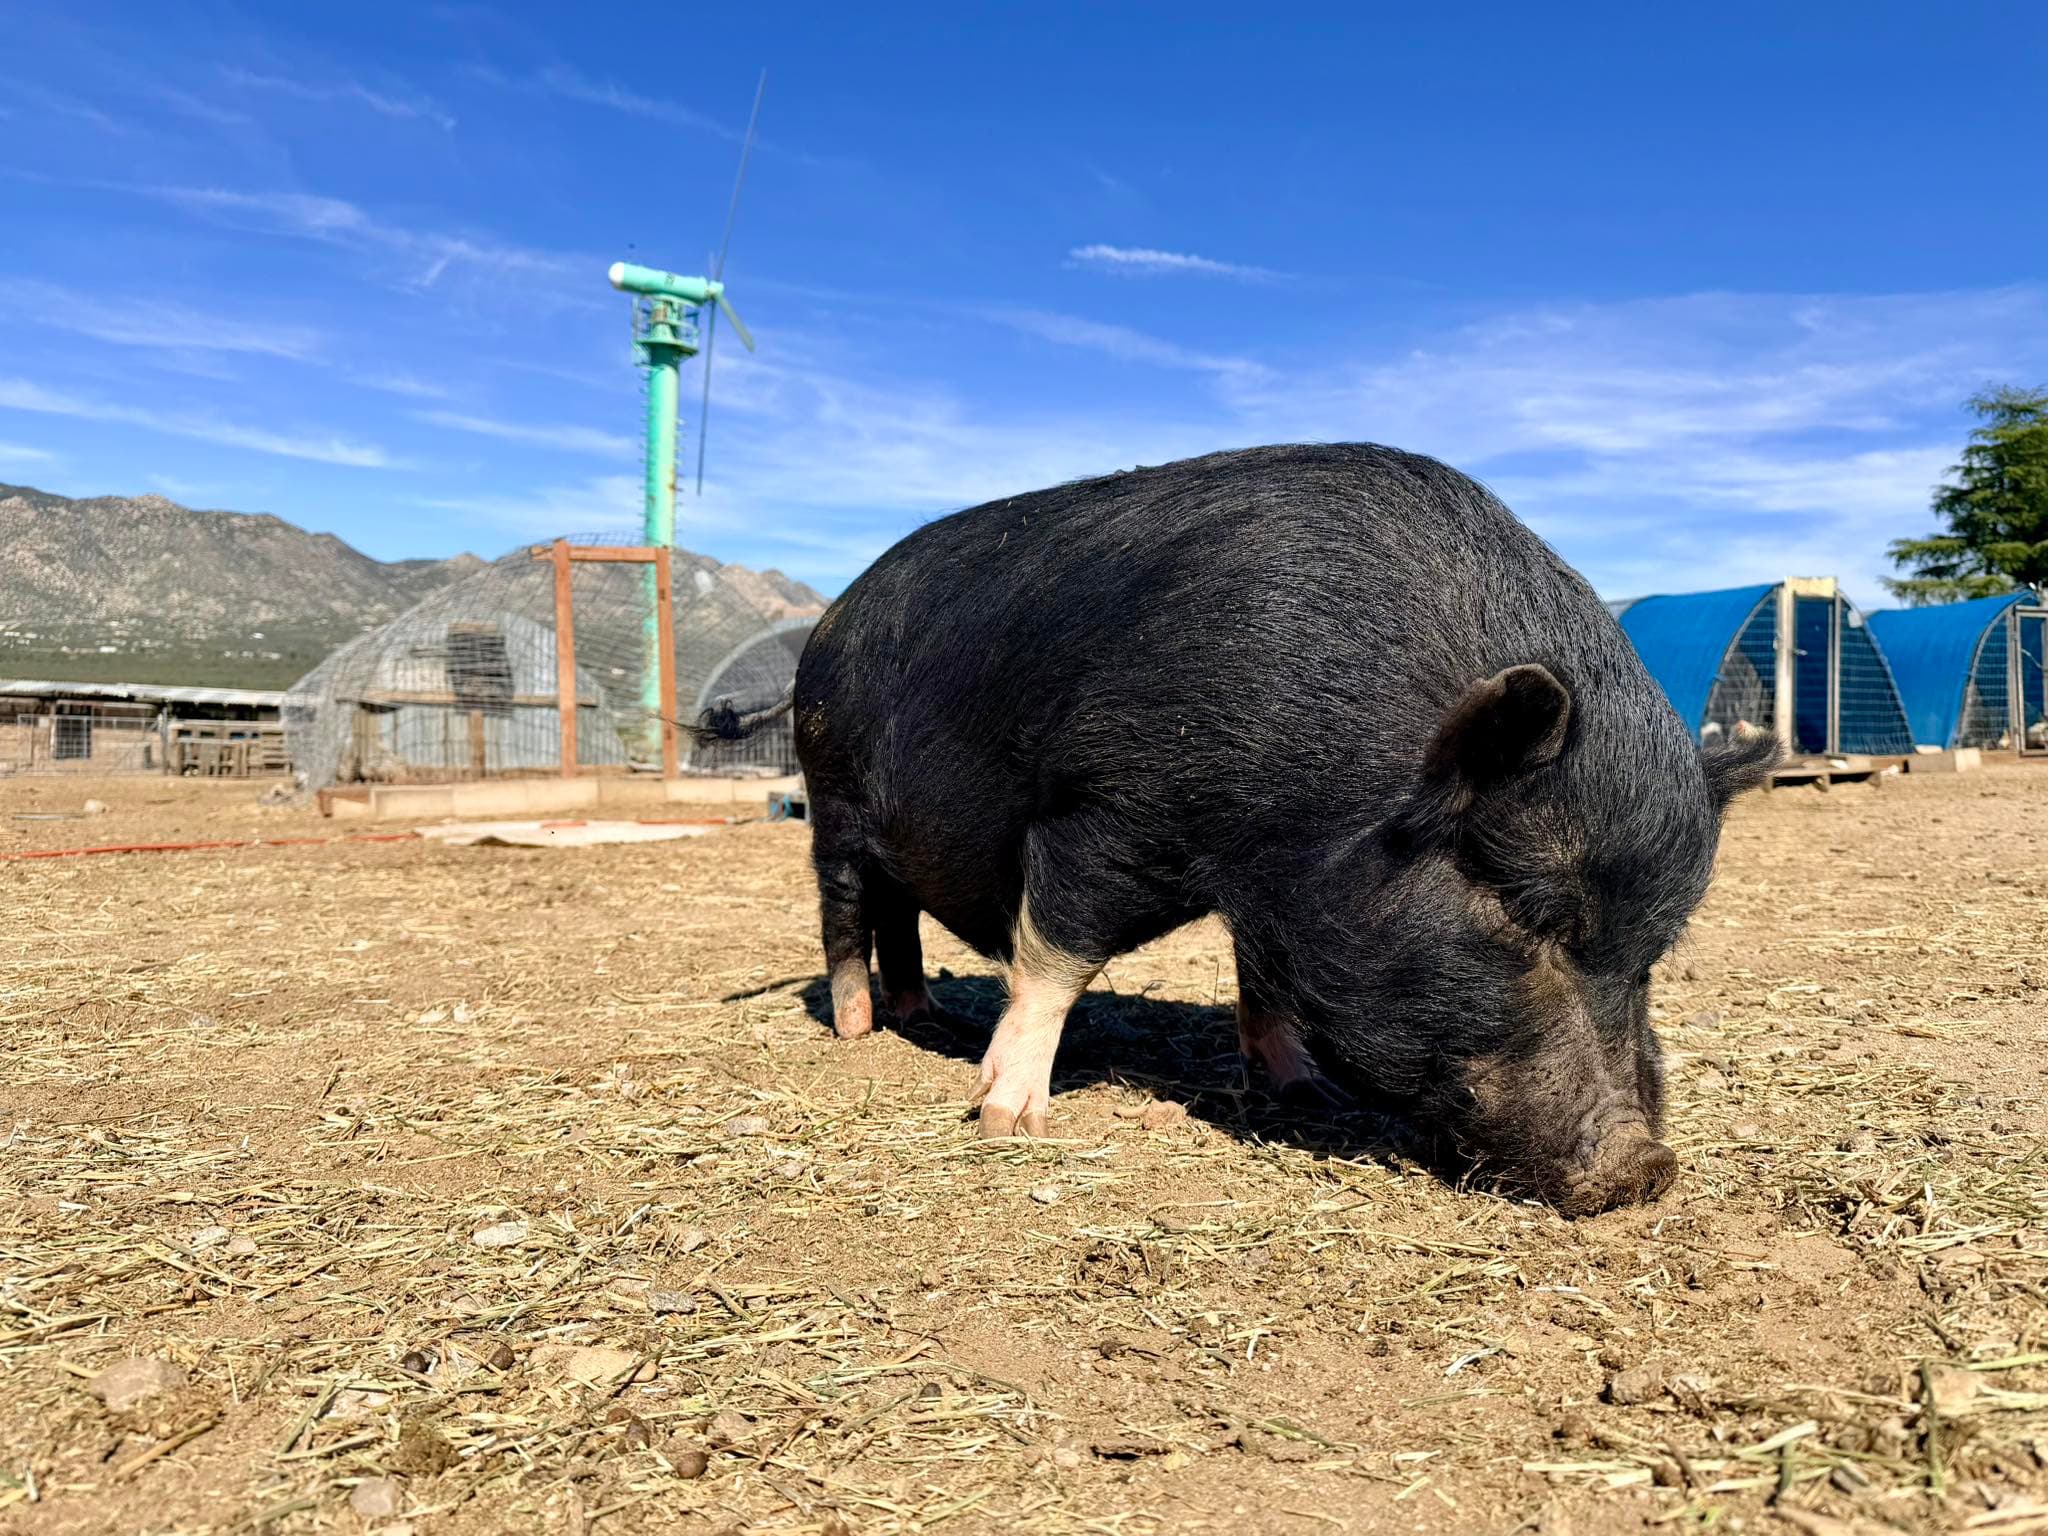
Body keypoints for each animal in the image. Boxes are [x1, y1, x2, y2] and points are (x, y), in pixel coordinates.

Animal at [721, 444, 1779, 1215]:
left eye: (1651, 954)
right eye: (1524, 912)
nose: (1647, 1169)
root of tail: (826, 623)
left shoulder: (1276, 879)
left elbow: (1265, 975)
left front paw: (1306, 1092)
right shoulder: (1106, 807)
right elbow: (1056, 951)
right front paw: (1008, 1122)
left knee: (899, 918)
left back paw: (923, 1017)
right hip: (831, 798)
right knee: (845, 913)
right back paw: (860, 1032)